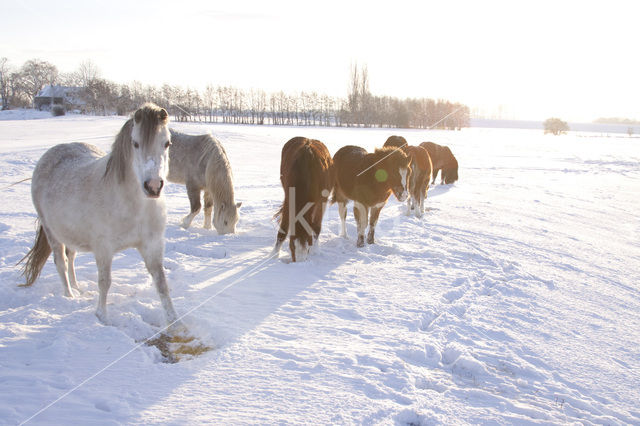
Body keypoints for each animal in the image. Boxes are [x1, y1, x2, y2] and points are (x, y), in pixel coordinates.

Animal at [20, 103, 180, 326]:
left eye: (167, 143)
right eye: (135, 143)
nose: (153, 186)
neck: (134, 206)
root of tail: (49, 155)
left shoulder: (153, 245)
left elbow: (161, 282)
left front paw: (174, 321)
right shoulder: (104, 249)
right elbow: (105, 282)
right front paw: (102, 317)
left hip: (72, 234)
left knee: (71, 258)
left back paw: (77, 288)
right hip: (53, 233)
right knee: (61, 262)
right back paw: (69, 296)